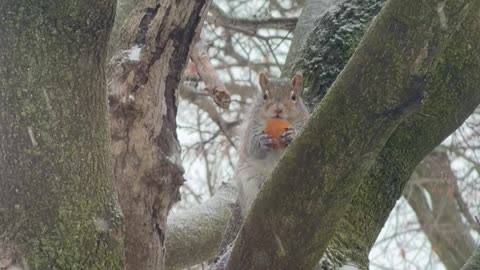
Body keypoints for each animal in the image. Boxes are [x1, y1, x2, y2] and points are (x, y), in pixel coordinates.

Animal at [234, 72, 310, 215]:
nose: (278, 109)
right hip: (249, 179)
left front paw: (292, 135)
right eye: (265, 96)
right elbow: (252, 148)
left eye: (294, 97)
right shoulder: (251, 129)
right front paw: (261, 142)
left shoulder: (304, 122)